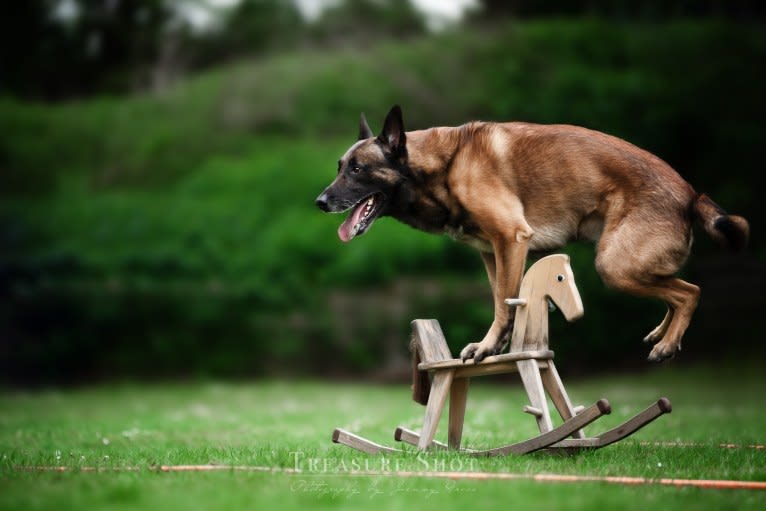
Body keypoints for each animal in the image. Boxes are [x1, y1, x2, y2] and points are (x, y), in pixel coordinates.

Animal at [316, 106, 752, 364]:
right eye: (339, 166)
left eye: (357, 169)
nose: (320, 201)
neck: (445, 166)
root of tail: (691, 194)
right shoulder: (492, 252)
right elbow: (501, 299)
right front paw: (495, 345)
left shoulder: (511, 239)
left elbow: (502, 304)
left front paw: (488, 346)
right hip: (629, 263)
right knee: (676, 290)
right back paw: (663, 333)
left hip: (615, 265)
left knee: (689, 292)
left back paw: (666, 344)